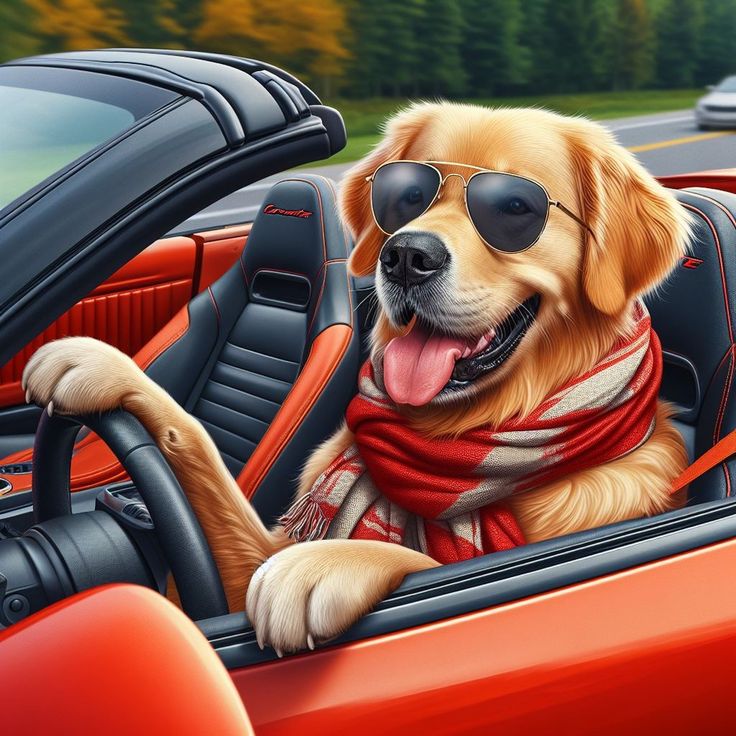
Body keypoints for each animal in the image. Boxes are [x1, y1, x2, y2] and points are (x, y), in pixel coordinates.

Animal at [21, 100, 688, 652]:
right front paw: (96, 363)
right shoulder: (243, 557)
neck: (462, 437)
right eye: (407, 196)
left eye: (515, 208)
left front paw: (323, 565)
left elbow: (422, 565)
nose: (406, 256)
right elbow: (195, 447)